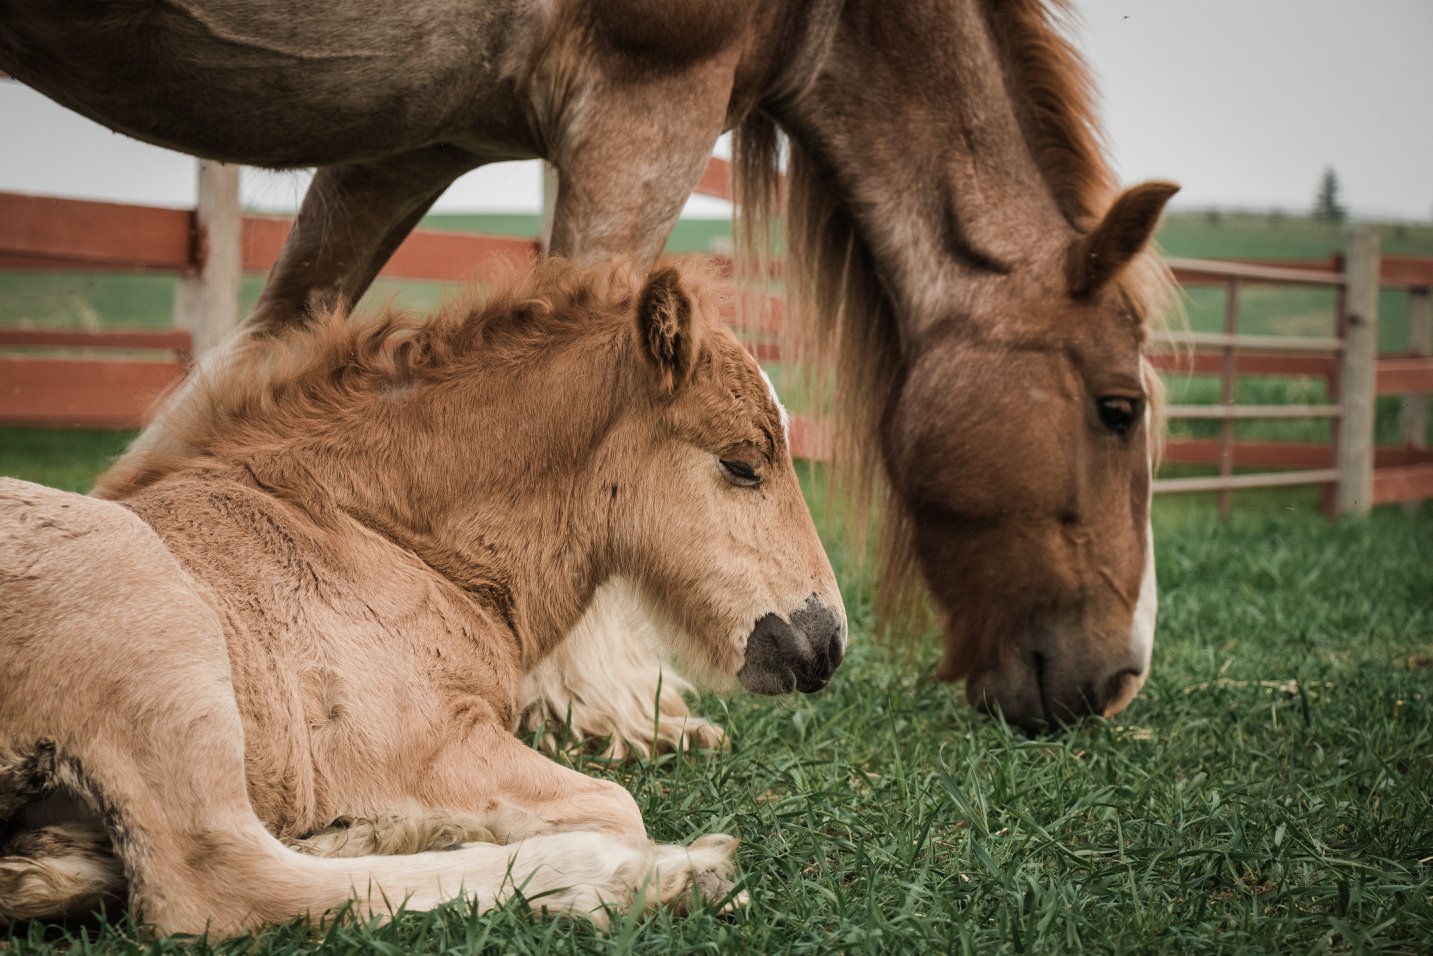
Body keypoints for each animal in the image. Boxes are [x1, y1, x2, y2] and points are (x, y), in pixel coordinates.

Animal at [0, 0, 1175, 733]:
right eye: (1118, 408)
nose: (1119, 677)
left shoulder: (407, 144)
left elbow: (260, 354)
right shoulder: (647, 100)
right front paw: (609, 710)